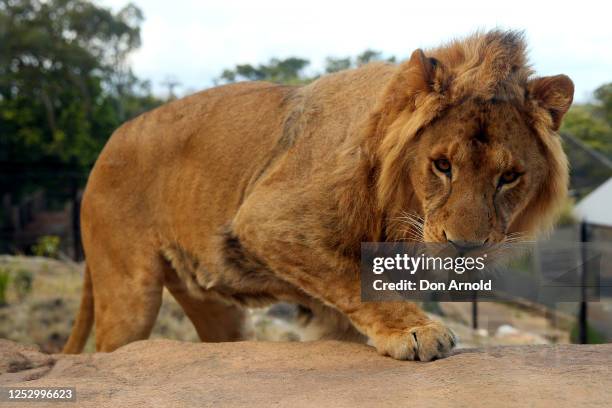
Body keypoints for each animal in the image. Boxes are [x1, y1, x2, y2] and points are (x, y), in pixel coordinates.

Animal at [63, 31, 572, 360]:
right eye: (442, 166)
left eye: (509, 177)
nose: (466, 246)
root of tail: (111, 139)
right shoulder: (264, 220)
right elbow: (356, 279)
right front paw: (416, 331)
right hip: (128, 293)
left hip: (217, 308)